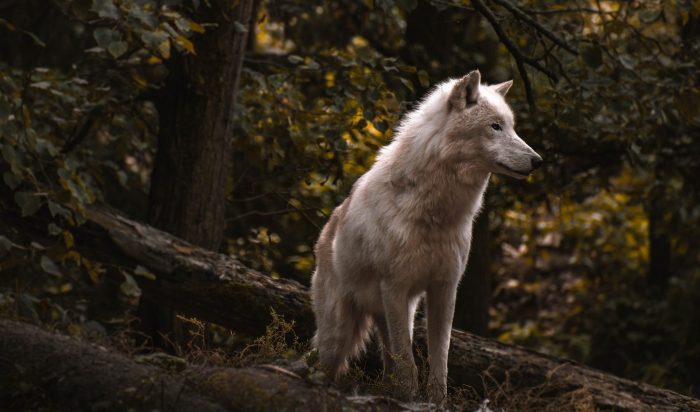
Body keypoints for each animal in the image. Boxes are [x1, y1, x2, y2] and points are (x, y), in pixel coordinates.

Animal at [310, 71, 540, 402]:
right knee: (330, 360)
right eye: (495, 126)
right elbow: (408, 362)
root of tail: (325, 232)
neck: (436, 215)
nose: (538, 161)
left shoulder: (445, 288)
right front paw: (409, 397)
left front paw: (436, 400)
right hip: (341, 330)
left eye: (511, 126)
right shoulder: (394, 286)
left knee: (388, 359)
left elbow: (439, 358)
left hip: (398, 313)